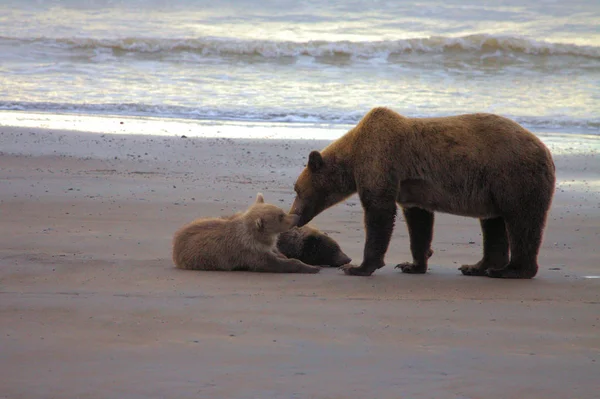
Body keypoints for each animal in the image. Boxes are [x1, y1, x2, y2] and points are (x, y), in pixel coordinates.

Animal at [288, 108, 556, 280]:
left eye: (297, 190)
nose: (293, 216)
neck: (353, 156)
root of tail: (545, 149)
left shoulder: (380, 161)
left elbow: (379, 212)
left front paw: (359, 267)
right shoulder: (412, 188)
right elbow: (419, 222)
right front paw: (412, 264)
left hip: (513, 175)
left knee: (522, 222)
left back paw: (512, 270)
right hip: (491, 188)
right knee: (493, 223)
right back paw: (477, 267)